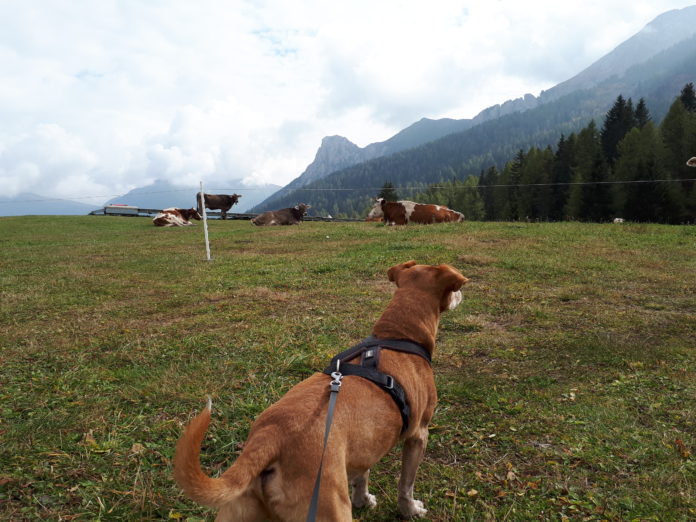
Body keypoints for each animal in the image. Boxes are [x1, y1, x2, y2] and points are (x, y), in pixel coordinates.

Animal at [174, 258, 470, 516]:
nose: (461, 296)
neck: (396, 335)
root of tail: (269, 438)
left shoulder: (366, 442)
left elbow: (362, 475)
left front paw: (363, 500)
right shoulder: (418, 435)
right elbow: (405, 484)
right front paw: (410, 510)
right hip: (328, 505)